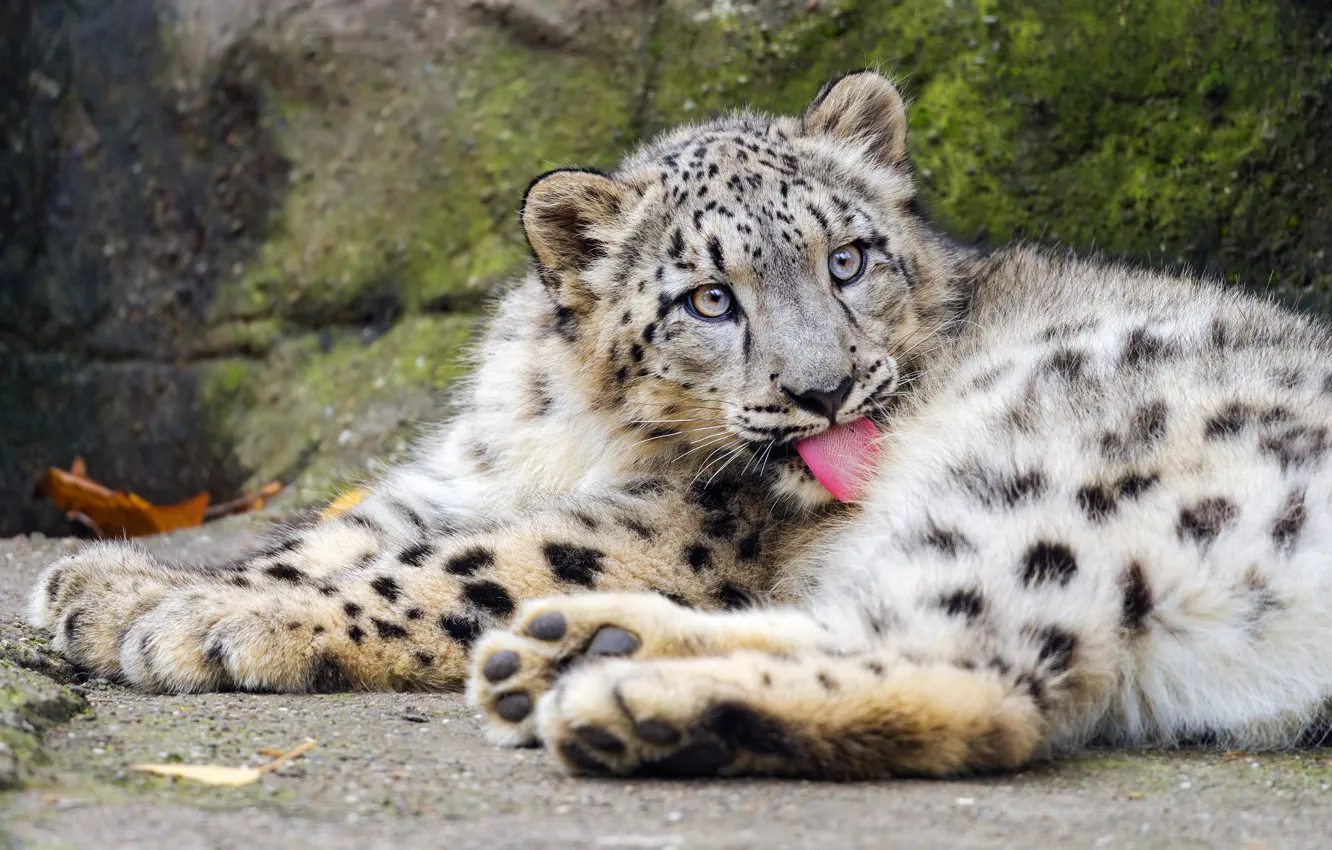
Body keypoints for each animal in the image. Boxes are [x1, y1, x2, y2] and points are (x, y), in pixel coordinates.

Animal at [30, 69, 1332, 781]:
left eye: (848, 258)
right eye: (710, 298)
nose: (824, 389)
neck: (573, 431)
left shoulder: (668, 527)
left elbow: (448, 567)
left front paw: (201, 618)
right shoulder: (457, 475)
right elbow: (339, 535)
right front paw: (105, 587)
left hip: (1049, 494)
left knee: (981, 681)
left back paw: (615, 702)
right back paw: (573, 653)